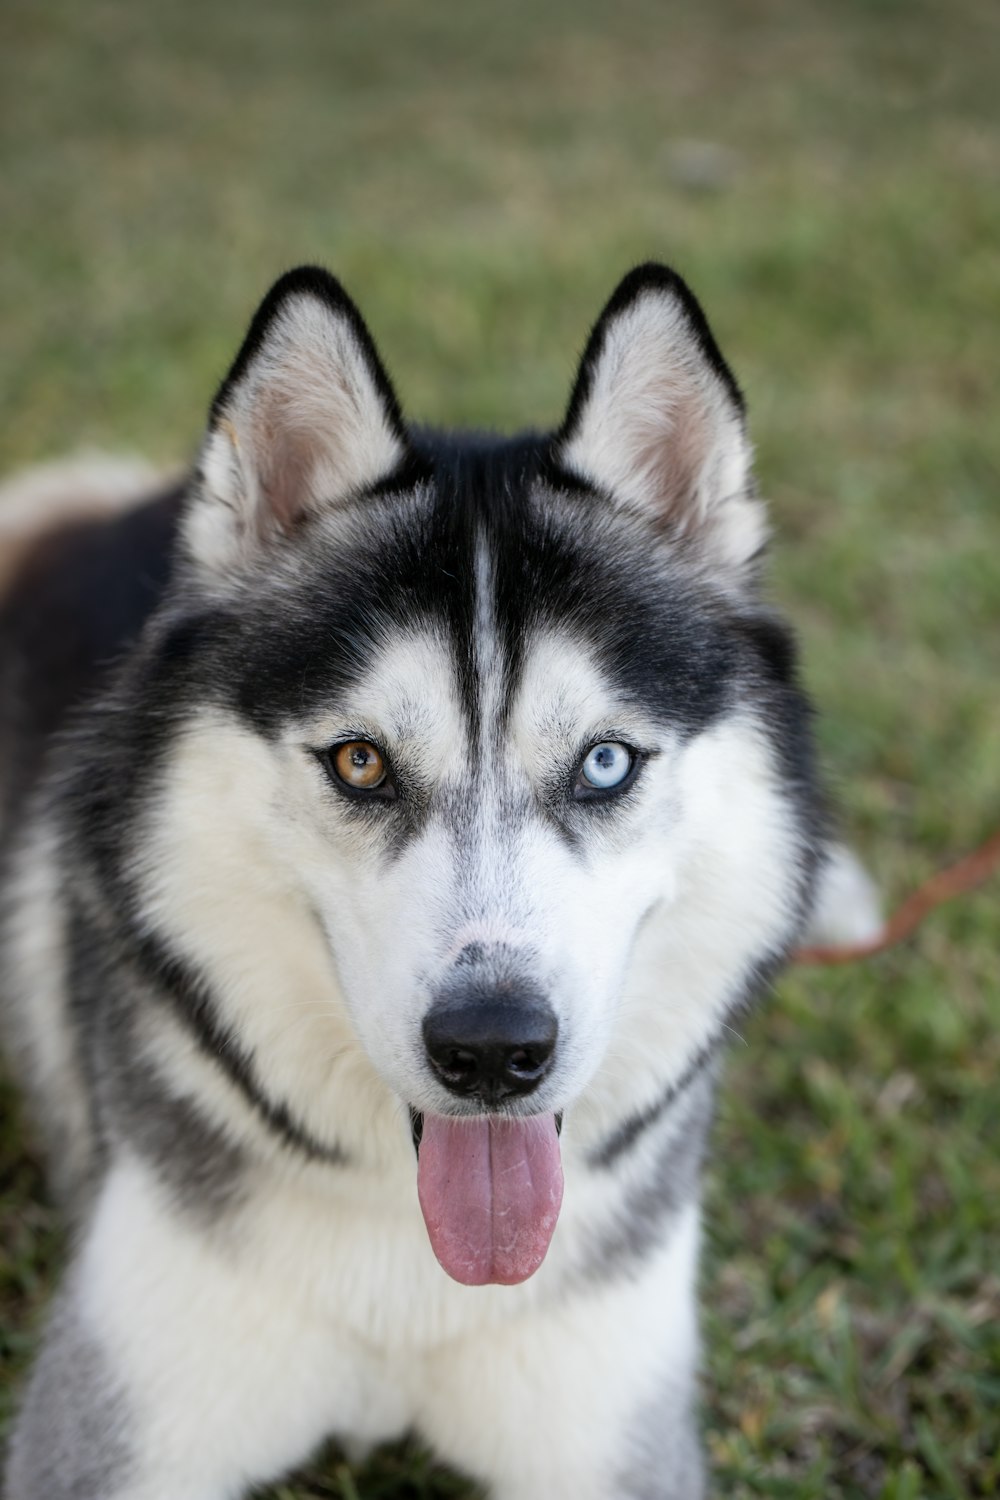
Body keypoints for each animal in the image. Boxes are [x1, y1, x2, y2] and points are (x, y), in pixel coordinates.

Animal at [0, 264, 875, 1494]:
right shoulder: (108, 1430)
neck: (416, 1278)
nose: (494, 1051)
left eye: (605, 763)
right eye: (361, 761)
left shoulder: (610, 1435)